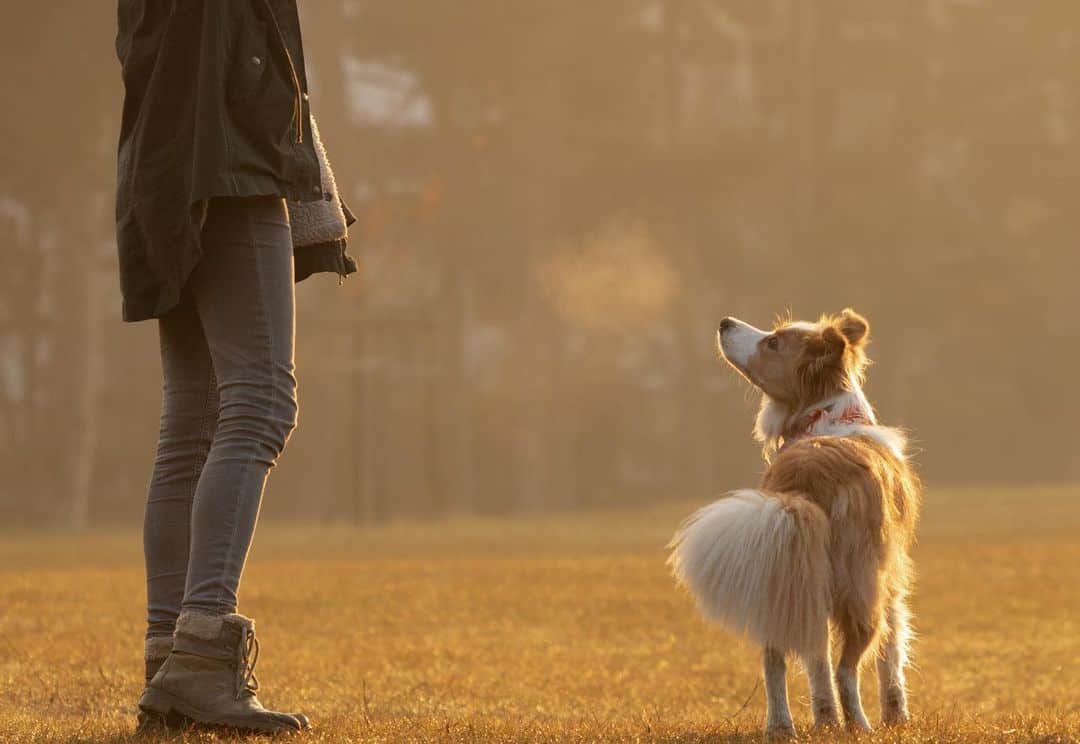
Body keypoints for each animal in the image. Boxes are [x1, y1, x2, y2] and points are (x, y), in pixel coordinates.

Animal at [665, 306, 920, 738]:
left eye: (773, 343)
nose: (724, 322)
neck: (824, 416)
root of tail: (803, 483)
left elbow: (814, 662)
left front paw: (824, 720)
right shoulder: (892, 576)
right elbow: (892, 650)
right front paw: (896, 718)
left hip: (781, 570)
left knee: (777, 659)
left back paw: (788, 726)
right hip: (860, 586)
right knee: (846, 668)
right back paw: (859, 725)